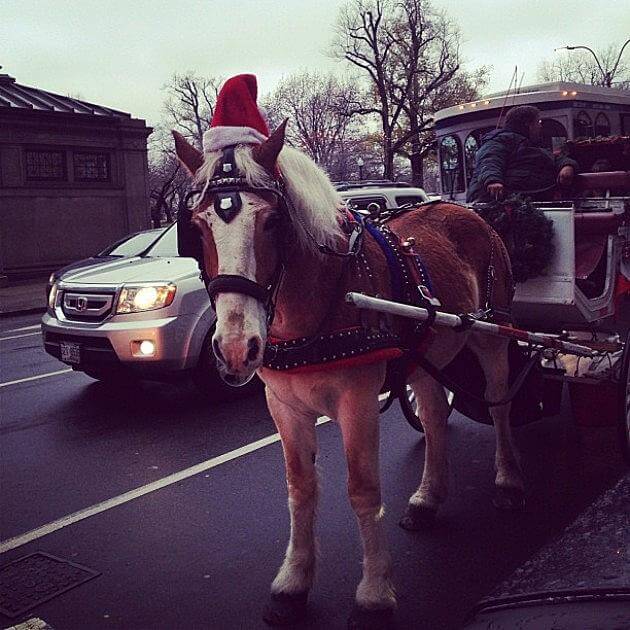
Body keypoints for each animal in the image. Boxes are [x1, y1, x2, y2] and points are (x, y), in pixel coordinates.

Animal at [173, 123, 524, 630]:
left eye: (273, 222)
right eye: (197, 227)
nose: (237, 348)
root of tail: (465, 207)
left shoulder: (357, 403)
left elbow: (362, 490)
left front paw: (374, 594)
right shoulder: (284, 407)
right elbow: (300, 488)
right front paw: (293, 583)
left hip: (492, 337)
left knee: (499, 405)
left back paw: (508, 480)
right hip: (423, 355)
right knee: (435, 416)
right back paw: (427, 498)